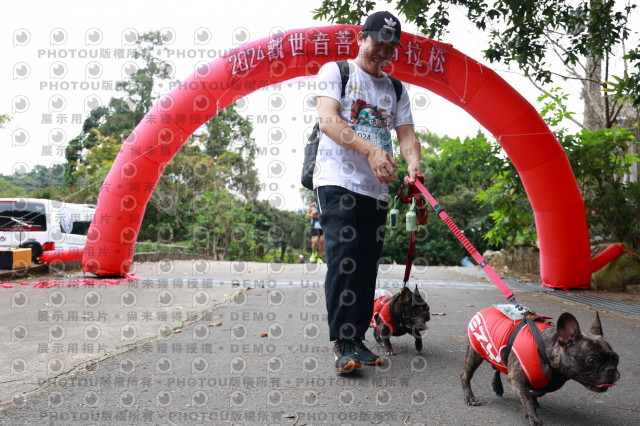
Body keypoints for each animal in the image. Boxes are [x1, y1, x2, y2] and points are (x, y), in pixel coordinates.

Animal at [461, 306, 620, 426]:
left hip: (497, 354)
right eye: (591, 360)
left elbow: (538, 392)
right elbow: (527, 402)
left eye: (616, 359)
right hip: (475, 353)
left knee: (497, 367)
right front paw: (535, 420)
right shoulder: (517, 380)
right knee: (465, 375)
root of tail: (485, 310)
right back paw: (470, 398)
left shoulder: (549, 382)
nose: (611, 370)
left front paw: (533, 397)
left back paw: (497, 386)